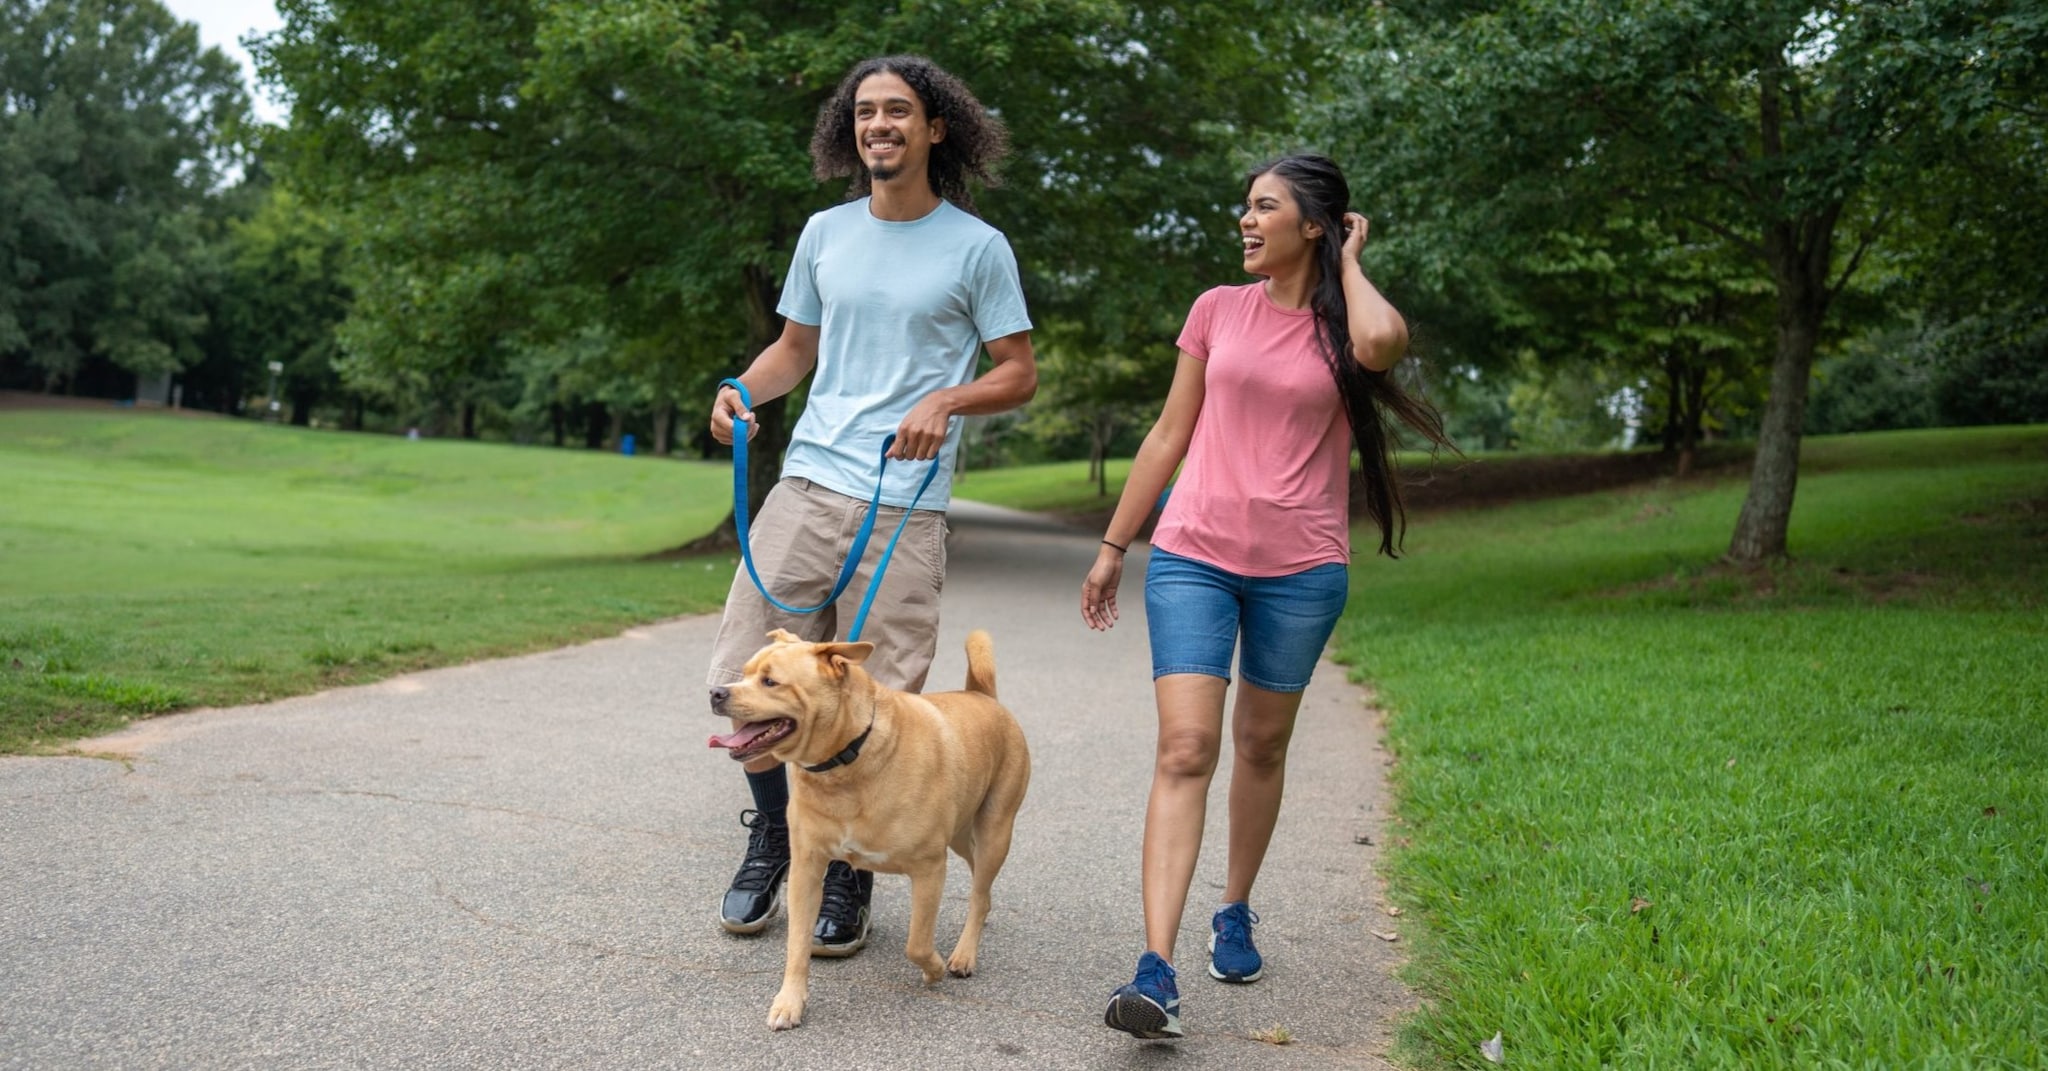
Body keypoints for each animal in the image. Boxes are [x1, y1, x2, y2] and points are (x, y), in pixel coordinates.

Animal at [708, 630, 1032, 1032]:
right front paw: (789, 1001)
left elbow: (917, 943)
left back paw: (963, 953)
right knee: (979, 887)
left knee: (979, 890)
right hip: (961, 835)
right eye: (745, 673)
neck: (847, 759)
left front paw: (935, 969)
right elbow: (797, 944)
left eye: (770, 681)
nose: (716, 693)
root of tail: (982, 695)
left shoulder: (929, 869)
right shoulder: (806, 870)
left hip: (994, 832)